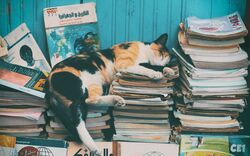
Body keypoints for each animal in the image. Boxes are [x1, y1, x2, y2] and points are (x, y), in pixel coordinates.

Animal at [44, 33, 174, 155]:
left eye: (166, 59)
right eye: (161, 53)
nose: (163, 62)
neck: (144, 52)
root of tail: (48, 84)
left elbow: (151, 65)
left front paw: (168, 70)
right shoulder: (124, 64)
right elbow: (146, 67)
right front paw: (156, 73)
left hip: (94, 84)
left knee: (91, 100)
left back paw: (116, 100)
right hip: (79, 87)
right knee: (79, 115)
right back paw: (94, 147)